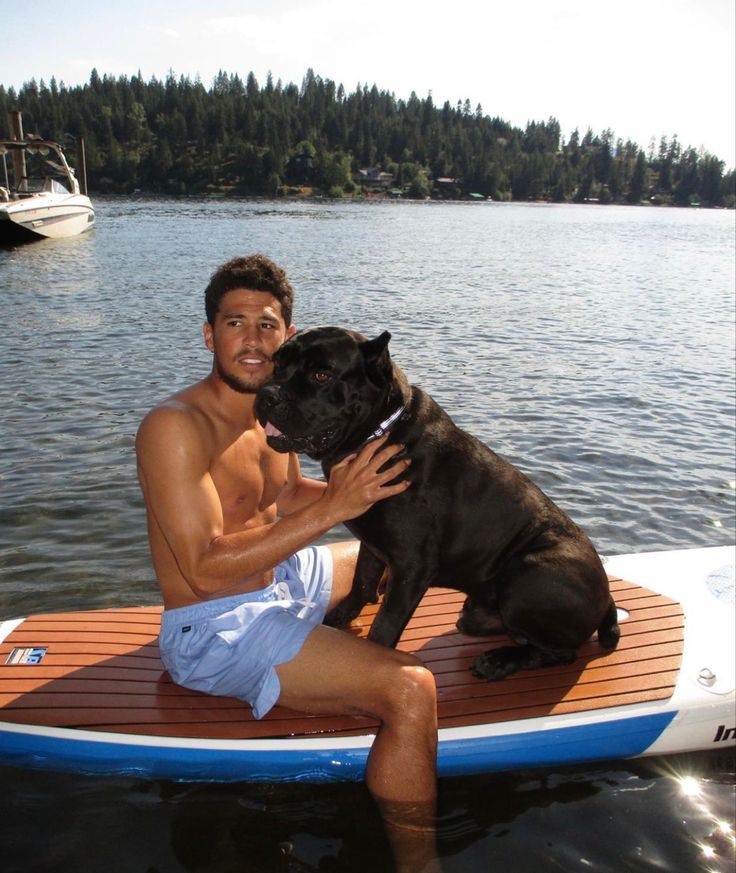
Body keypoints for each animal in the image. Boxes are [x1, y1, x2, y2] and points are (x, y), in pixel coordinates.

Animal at [256, 328, 620, 680]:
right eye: (277, 363)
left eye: (321, 375)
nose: (266, 393)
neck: (379, 433)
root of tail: (606, 601)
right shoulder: (373, 545)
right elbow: (362, 582)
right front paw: (339, 616)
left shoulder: (411, 567)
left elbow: (385, 624)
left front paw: (376, 656)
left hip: (529, 575)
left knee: (561, 652)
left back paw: (498, 662)